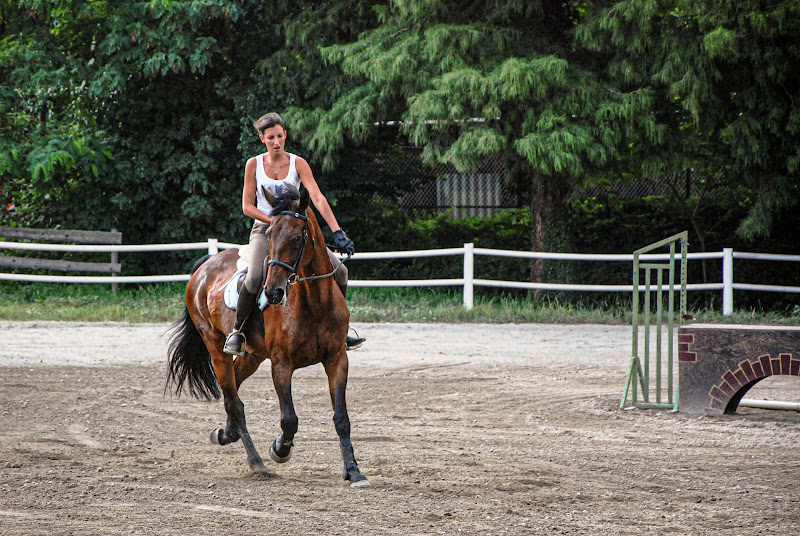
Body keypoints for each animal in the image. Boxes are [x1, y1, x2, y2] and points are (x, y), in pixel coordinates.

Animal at [168, 184, 372, 486]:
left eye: (298, 237)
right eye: (271, 235)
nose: (274, 292)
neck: (314, 301)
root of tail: (206, 265)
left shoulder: (337, 359)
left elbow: (341, 417)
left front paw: (354, 471)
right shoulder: (281, 364)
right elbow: (289, 419)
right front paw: (279, 449)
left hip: (252, 355)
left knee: (234, 389)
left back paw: (226, 433)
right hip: (216, 348)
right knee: (233, 400)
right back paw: (256, 462)